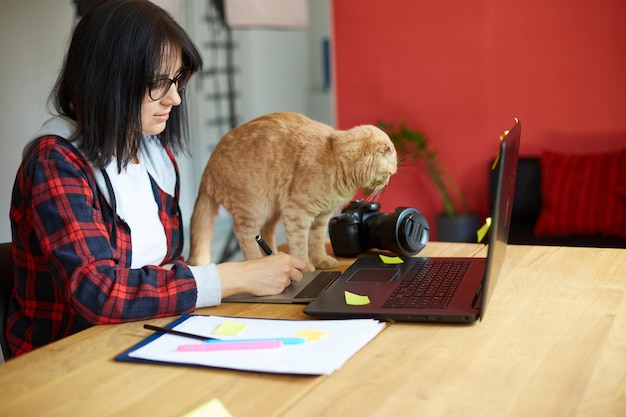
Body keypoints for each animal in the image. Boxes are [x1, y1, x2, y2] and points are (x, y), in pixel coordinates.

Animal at [188, 111, 398, 270]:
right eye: (390, 173)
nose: (388, 184)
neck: (336, 158)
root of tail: (208, 168)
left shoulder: (322, 217)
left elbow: (317, 241)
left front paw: (321, 260)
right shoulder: (297, 212)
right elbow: (299, 244)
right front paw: (304, 265)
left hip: (271, 211)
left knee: (265, 233)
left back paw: (273, 257)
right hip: (253, 208)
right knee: (245, 235)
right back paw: (257, 261)